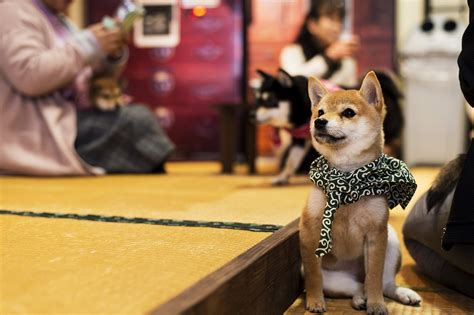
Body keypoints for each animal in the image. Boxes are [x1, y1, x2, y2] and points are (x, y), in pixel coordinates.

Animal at [256, 68, 404, 185]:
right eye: (320, 112)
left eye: (270, 100)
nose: (319, 121)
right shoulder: (299, 142)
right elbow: (291, 162)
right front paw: (282, 177)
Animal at [298, 73, 420, 314]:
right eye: (320, 112)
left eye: (348, 113)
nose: (319, 122)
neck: (347, 176)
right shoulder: (310, 232)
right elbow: (314, 275)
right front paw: (315, 301)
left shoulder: (375, 236)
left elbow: (373, 277)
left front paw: (377, 304)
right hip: (334, 279)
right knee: (355, 287)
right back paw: (359, 299)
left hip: (391, 242)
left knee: (382, 284)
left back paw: (400, 294)